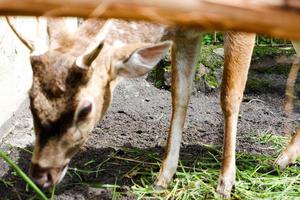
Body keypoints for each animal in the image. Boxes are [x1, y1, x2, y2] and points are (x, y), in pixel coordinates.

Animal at [7, 16, 300, 198]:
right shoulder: (186, 32)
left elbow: (229, 97)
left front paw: (225, 184)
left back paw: (280, 160)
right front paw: (162, 178)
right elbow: (179, 95)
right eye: (31, 99)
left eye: (85, 109)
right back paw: (282, 160)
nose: (40, 175)